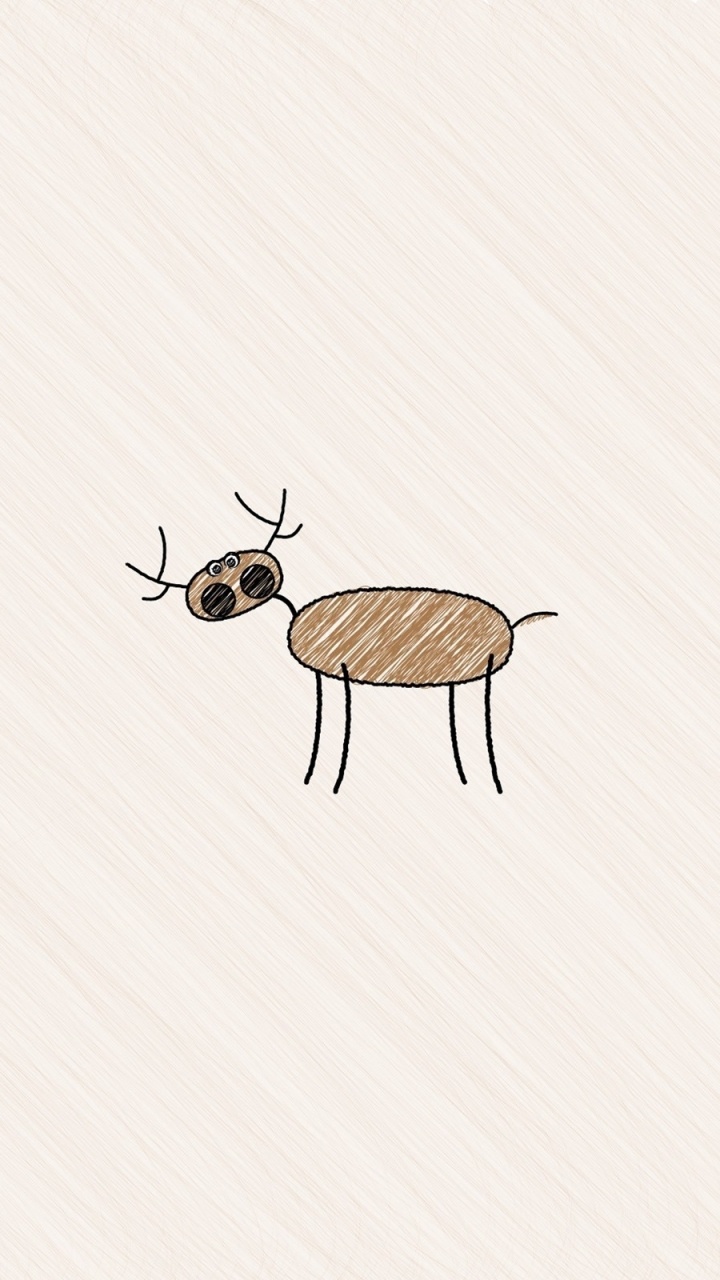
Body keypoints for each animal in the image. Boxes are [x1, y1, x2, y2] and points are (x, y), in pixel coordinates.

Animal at [126, 489, 557, 794]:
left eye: (248, 574)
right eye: (215, 592)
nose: (220, 577)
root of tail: (510, 627)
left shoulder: (341, 673)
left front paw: (328, 780)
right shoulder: (328, 675)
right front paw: (318, 777)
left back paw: (490, 779)